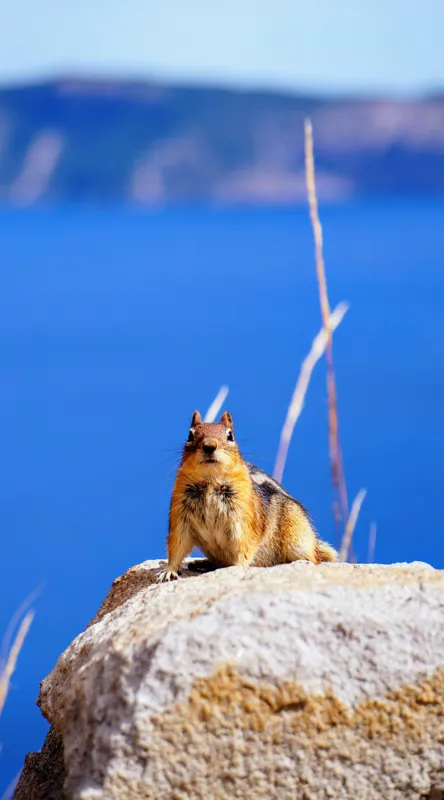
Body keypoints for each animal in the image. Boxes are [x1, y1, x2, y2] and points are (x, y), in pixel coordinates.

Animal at [157, 410, 337, 582]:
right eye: (190, 435)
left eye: (230, 435)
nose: (209, 446)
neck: (210, 482)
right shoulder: (180, 514)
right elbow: (177, 545)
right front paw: (168, 571)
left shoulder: (242, 517)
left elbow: (243, 545)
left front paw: (237, 568)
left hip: (297, 538)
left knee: (314, 559)